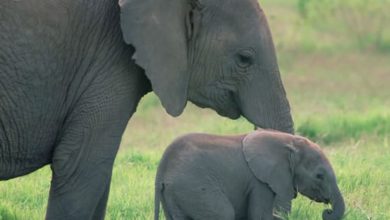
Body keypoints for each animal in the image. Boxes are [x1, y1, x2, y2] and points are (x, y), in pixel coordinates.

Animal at [155, 130, 344, 220]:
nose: (326, 212)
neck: (289, 142)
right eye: (319, 176)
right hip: (193, 186)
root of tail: (162, 168)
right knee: (223, 213)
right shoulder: (261, 182)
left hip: (175, 194)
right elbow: (261, 216)